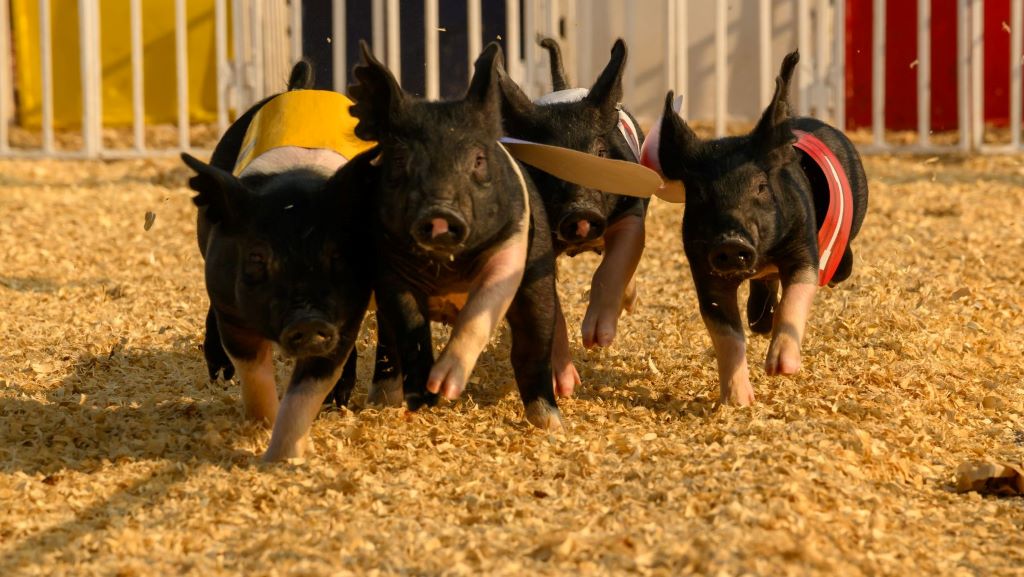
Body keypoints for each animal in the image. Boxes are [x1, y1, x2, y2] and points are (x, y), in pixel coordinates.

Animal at [183, 60, 375, 461]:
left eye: (338, 253)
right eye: (258, 257)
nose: (308, 319)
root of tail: (305, 88)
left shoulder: (347, 314)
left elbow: (309, 387)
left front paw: (287, 455)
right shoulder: (231, 309)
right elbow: (253, 371)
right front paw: (260, 428)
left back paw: (339, 401)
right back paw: (218, 374)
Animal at [347, 40, 563, 430]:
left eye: (478, 160)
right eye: (399, 160)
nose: (440, 214)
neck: (446, 271)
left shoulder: (512, 244)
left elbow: (481, 310)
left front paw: (446, 386)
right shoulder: (388, 265)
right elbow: (409, 326)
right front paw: (426, 395)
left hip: (538, 287)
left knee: (533, 345)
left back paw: (551, 424)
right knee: (388, 343)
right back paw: (382, 402)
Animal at [496, 38, 648, 398]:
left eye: (600, 153)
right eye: (545, 161)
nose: (580, 212)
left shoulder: (631, 214)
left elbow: (613, 267)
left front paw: (597, 339)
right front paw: (564, 387)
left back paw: (628, 305)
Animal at [643, 50, 868, 405]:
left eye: (761, 187)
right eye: (699, 193)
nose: (731, 242)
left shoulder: (803, 248)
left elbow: (796, 296)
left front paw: (780, 368)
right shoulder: (704, 269)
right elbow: (727, 333)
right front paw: (738, 401)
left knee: (836, 268)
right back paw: (759, 322)